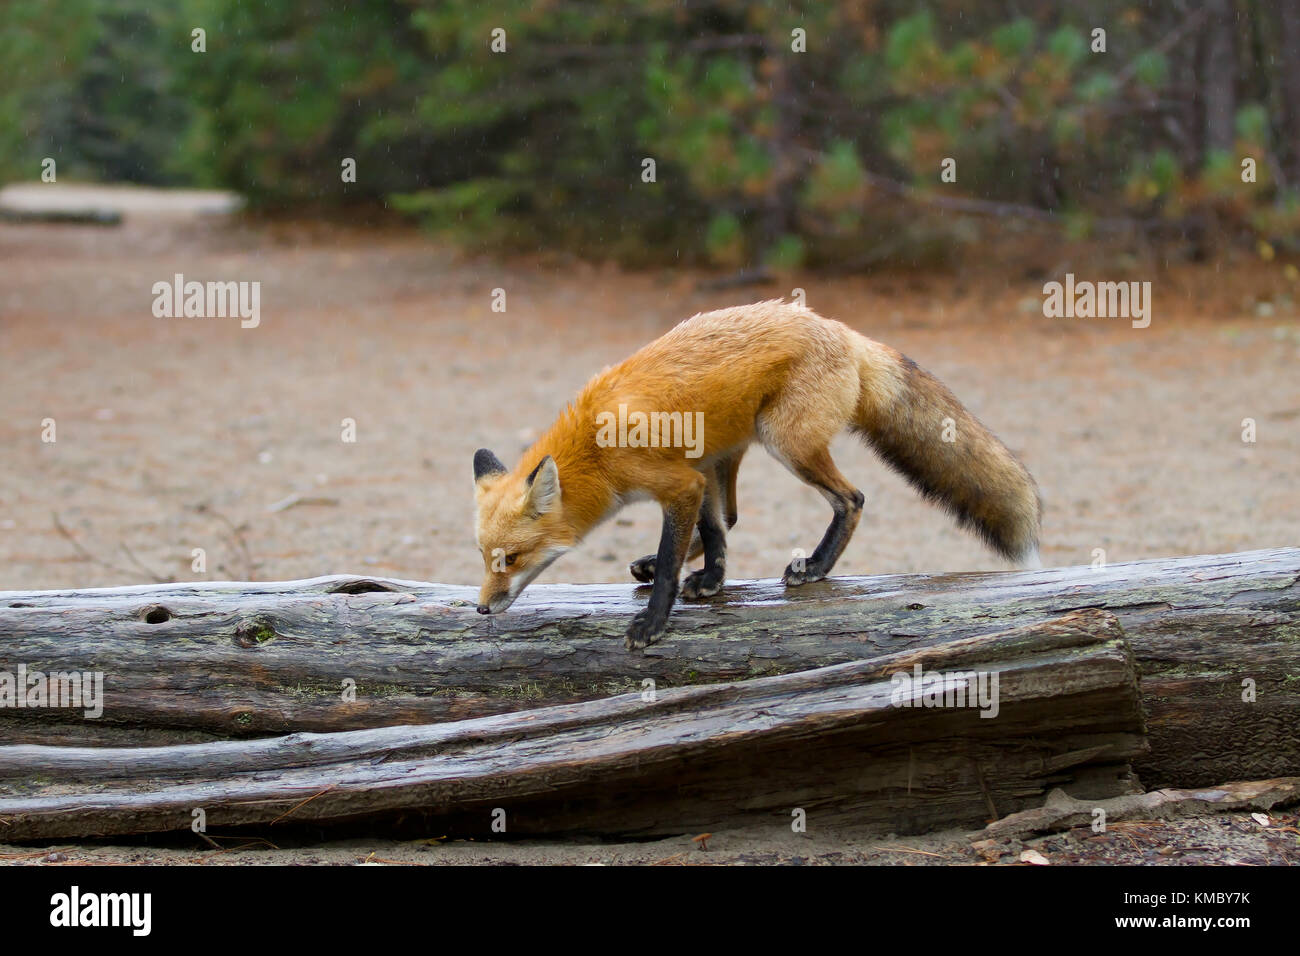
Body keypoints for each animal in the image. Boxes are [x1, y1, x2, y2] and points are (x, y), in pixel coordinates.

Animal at [473, 299, 1041, 650]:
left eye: (512, 559)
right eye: (484, 558)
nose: (480, 610)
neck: (594, 450)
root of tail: (842, 331)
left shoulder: (678, 483)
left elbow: (675, 554)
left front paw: (654, 621)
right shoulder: (694, 476)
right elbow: (709, 534)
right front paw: (709, 581)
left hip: (784, 442)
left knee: (852, 499)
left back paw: (816, 566)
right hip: (723, 454)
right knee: (730, 518)